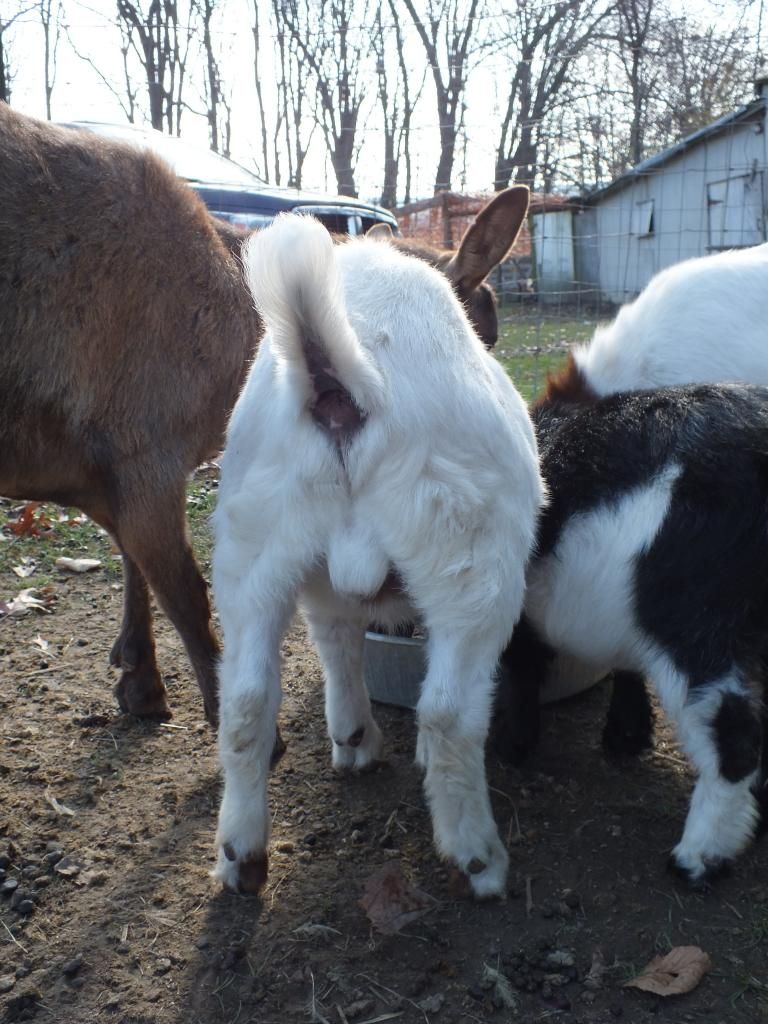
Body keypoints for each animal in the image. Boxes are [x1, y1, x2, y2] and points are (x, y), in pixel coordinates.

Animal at [211, 213, 543, 898]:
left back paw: (240, 854)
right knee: (448, 712)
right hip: (470, 557)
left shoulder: (322, 585)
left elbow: (338, 644)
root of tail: (344, 387)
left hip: (252, 544)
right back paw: (477, 856)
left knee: (247, 699)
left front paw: (353, 740)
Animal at [496, 383, 768, 886]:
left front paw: (513, 745)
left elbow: (522, 669)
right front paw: (627, 735)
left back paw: (698, 858)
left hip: (690, 623)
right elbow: (624, 666)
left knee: (735, 734)